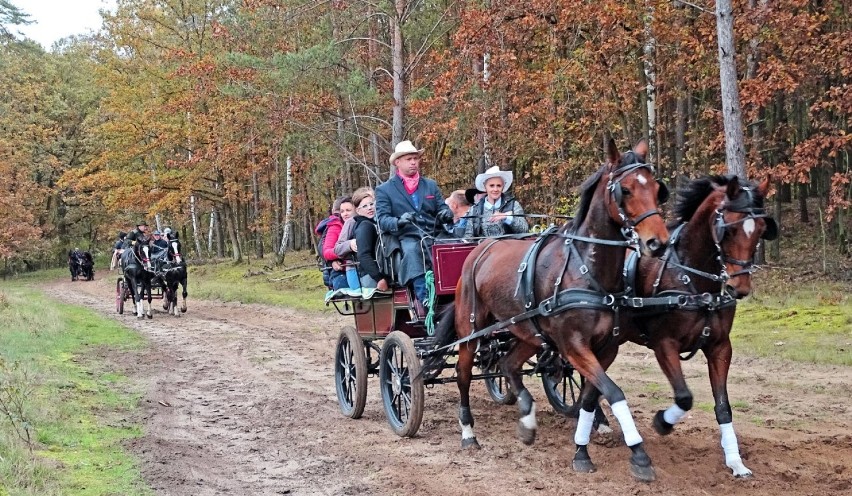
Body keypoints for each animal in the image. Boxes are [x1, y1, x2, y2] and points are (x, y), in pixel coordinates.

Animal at [426, 139, 672, 480]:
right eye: (625, 190)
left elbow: (591, 396)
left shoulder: (606, 348)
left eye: (657, 189)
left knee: (508, 364)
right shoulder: (573, 345)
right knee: (463, 375)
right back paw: (468, 433)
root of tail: (479, 249)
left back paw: (527, 420)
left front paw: (585, 446)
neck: (587, 269)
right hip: (471, 329)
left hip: (526, 331)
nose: (657, 243)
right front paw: (638, 454)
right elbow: (614, 392)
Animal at [580, 173, 780, 476]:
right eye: (729, 230)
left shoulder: (720, 347)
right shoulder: (664, 345)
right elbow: (684, 397)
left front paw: (735, 462)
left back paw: (598, 422)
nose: (740, 288)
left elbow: (723, 407)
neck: (693, 278)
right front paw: (662, 422)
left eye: (759, 230)